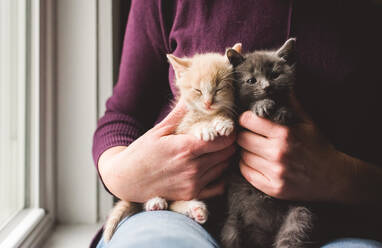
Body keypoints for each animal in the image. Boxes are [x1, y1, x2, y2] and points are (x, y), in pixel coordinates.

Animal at [101, 43, 240, 241]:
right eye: (197, 90)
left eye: (219, 89)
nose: (208, 103)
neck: (204, 113)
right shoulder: (179, 128)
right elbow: (191, 127)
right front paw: (204, 128)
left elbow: (223, 115)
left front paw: (223, 122)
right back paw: (156, 202)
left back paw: (194, 209)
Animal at [221, 37, 316, 247]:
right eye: (251, 80)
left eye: (275, 75)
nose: (266, 87)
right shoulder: (235, 120)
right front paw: (262, 105)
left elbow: (290, 112)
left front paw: (283, 112)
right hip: (232, 223)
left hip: (299, 213)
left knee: (292, 234)